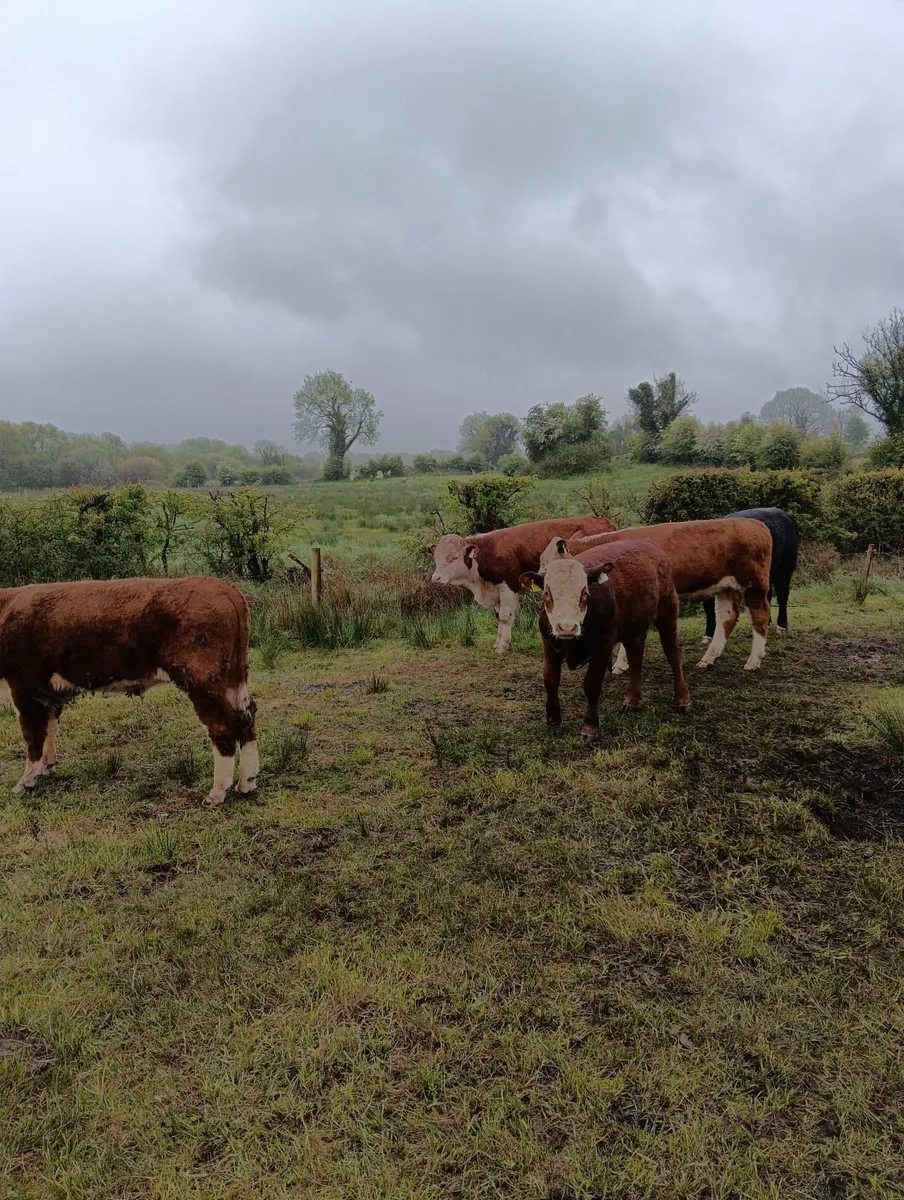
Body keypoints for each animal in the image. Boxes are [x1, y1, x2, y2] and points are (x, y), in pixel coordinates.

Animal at [0, 577, 258, 806]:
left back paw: (216, 794)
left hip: (201, 679)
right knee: (246, 716)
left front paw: (24, 782)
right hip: (233, 678)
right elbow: (49, 731)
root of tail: (224, 588)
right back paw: (246, 783)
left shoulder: (25, 687)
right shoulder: (48, 694)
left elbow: (33, 736)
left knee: (222, 726)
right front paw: (47, 768)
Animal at [430, 516, 616, 652]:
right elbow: (498, 616)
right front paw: (498, 641)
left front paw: (502, 646)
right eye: (436, 557)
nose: (436, 578)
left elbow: (505, 617)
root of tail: (601, 519)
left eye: (454, 557)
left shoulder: (509, 587)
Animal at [521, 538, 690, 741]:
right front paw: (553, 720)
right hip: (632, 626)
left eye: (584, 592)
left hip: (668, 614)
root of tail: (651, 546)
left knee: (673, 655)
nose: (567, 627)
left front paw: (590, 727)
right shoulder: (549, 644)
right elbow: (550, 680)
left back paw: (683, 699)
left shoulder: (603, 646)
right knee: (635, 656)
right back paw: (632, 700)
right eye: (547, 593)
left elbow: (592, 686)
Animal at [563, 517, 773, 672]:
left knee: (760, 616)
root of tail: (755, 523)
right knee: (727, 617)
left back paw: (753, 661)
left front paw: (620, 665)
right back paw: (708, 658)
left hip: (754, 584)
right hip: (725, 587)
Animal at [700, 507, 798, 642]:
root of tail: (785, 514)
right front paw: (707, 636)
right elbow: (709, 607)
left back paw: (781, 627)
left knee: (782, 594)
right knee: (767, 594)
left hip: (785, 566)